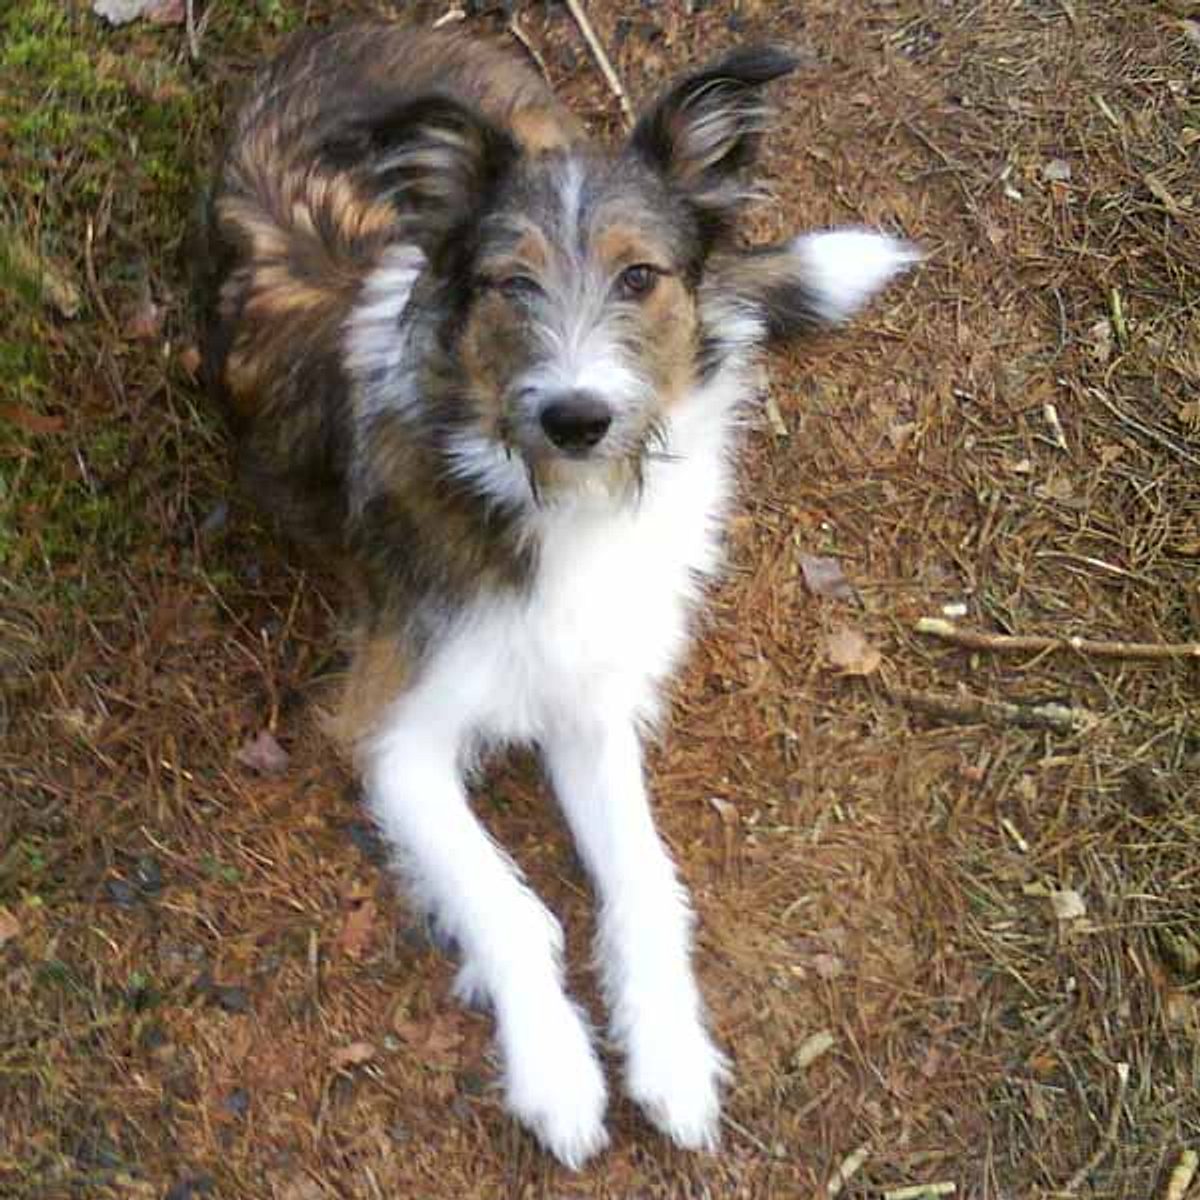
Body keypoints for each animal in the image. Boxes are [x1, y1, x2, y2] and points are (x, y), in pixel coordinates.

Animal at [196, 21, 912, 1161]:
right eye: (510, 284)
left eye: (640, 275)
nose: (579, 416)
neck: (548, 490)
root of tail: (349, 25)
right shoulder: (393, 731)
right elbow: (508, 905)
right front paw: (559, 1076)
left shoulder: (588, 699)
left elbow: (645, 883)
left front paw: (669, 1056)